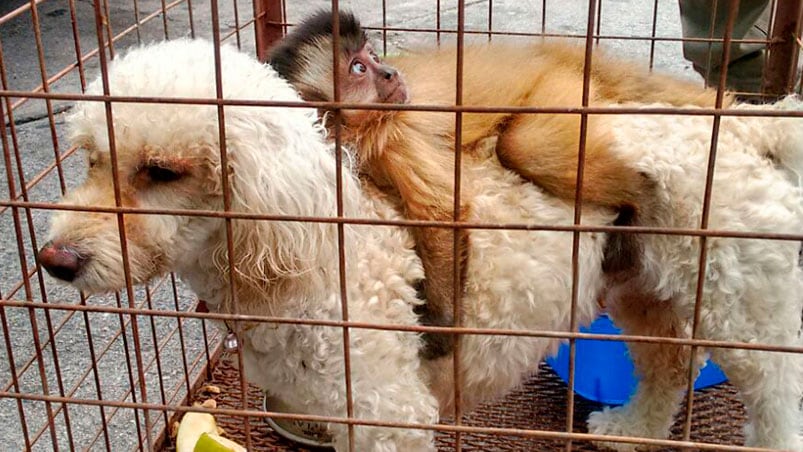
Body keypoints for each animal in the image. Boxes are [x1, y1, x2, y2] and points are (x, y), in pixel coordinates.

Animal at [266, 9, 732, 356]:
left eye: (373, 55)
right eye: (360, 67)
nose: (391, 72)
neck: (356, 131)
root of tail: (556, 57)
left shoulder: (394, 131)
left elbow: (443, 212)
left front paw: (443, 328)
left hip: (562, 93)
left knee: (523, 145)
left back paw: (642, 199)